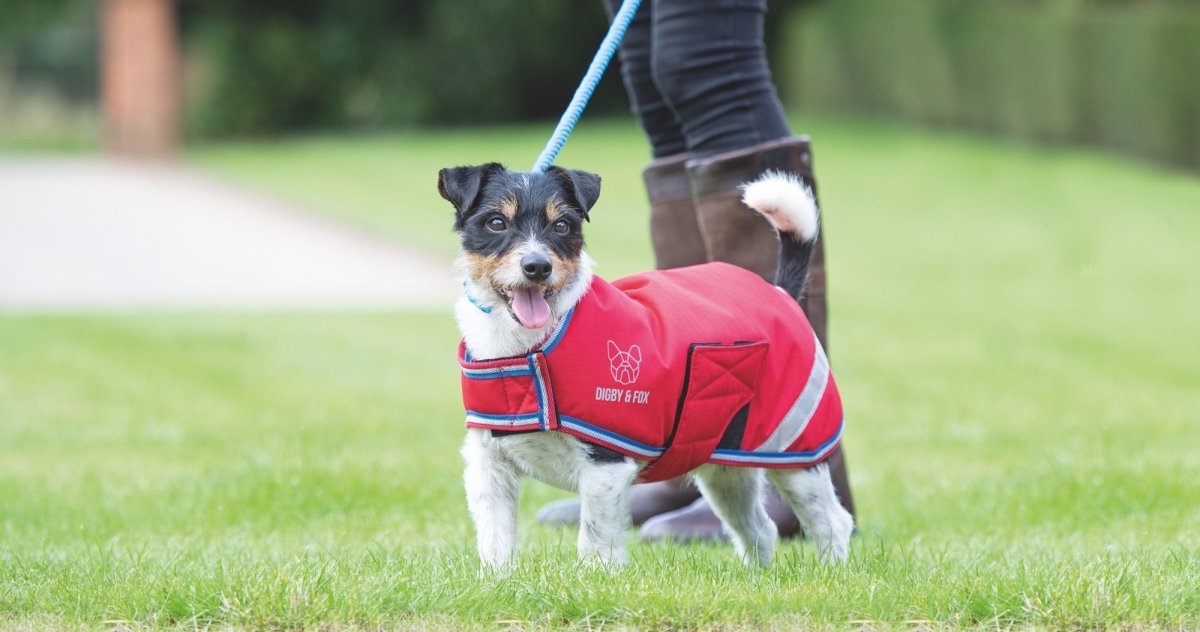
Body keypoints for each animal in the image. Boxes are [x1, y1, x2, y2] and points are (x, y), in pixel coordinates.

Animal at [441, 161, 854, 568]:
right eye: (496, 222)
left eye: (562, 226)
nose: (537, 266)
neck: (526, 346)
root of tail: (782, 293)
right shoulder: (488, 466)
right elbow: (495, 539)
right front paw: (499, 580)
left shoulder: (604, 467)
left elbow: (595, 539)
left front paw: (596, 579)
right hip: (726, 468)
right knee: (760, 529)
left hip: (796, 451)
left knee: (833, 522)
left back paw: (829, 574)